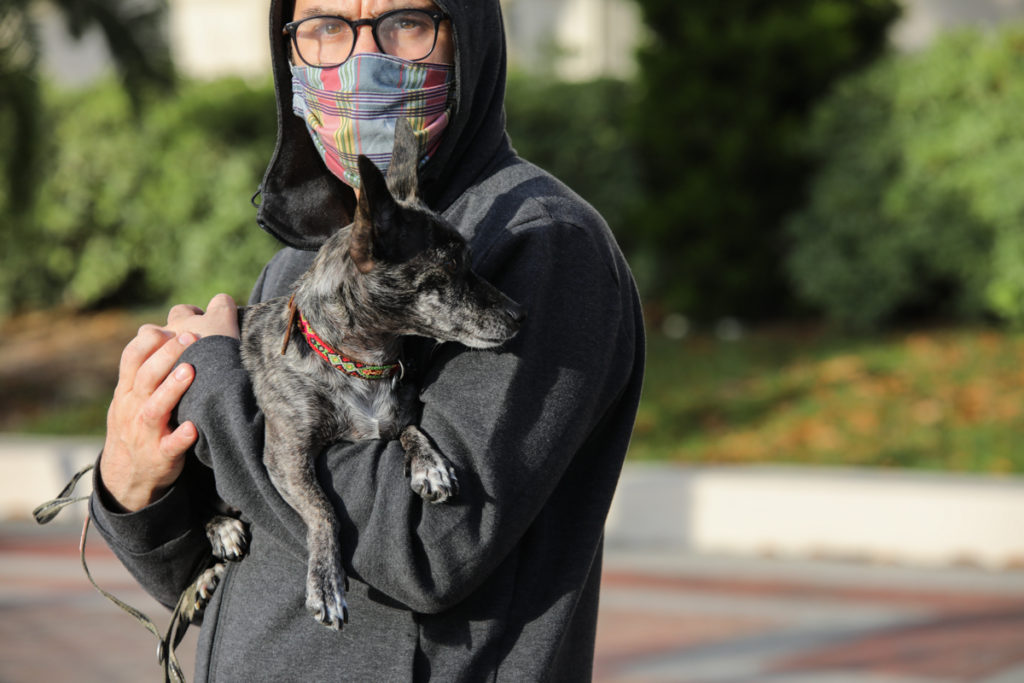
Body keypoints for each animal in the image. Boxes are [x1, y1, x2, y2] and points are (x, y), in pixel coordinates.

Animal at [184, 119, 525, 632]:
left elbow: (410, 428)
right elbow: (323, 510)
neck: (360, 362)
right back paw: (217, 535)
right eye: (449, 268)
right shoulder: (286, 457)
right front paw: (326, 581)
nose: (519, 314)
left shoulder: (395, 417)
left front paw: (430, 463)